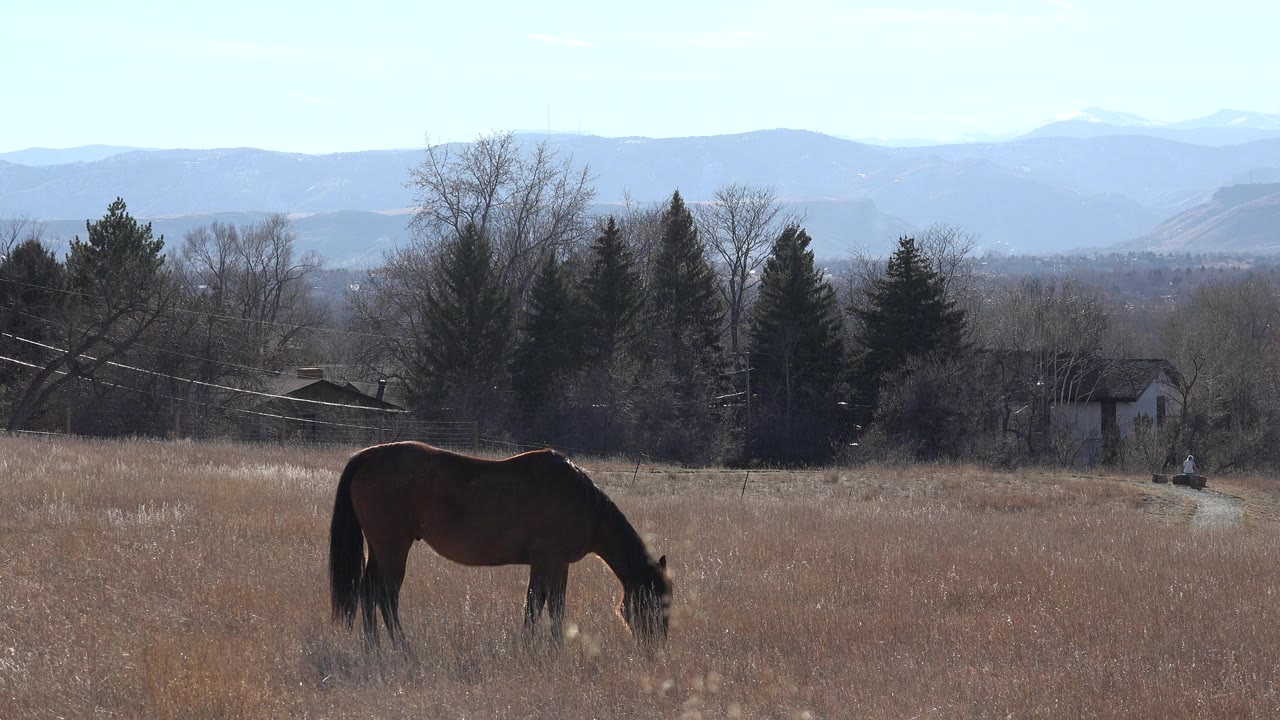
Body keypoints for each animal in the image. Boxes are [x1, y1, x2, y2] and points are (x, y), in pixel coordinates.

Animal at [328, 441, 672, 646]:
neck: (584, 502)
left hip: (381, 549)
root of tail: (369, 455)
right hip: (393, 548)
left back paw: (373, 647)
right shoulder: (550, 560)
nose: (656, 648)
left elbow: (544, 605)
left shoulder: (553, 565)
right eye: (656, 604)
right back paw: (401, 647)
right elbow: (544, 605)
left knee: (368, 592)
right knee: (385, 595)